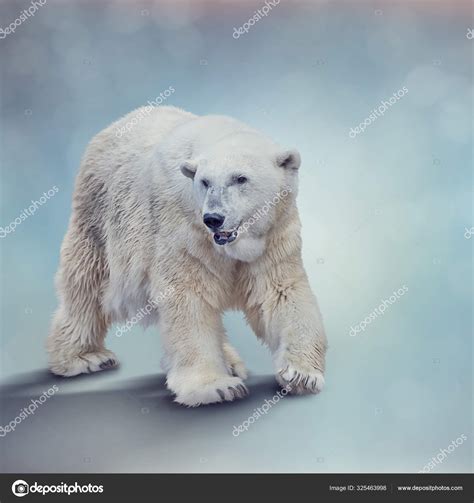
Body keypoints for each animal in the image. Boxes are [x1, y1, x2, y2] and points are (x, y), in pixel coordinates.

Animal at [47, 105, 326, 406]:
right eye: (204, 181)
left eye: (240, 178)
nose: (213, 218)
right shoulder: (183, 227)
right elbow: (189, 296)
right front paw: (216, 387)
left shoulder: (275, 233)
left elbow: (280, 292)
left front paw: (301, 374)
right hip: (100, 215)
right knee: (87, 281)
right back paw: (84, 357)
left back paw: (231, 361)